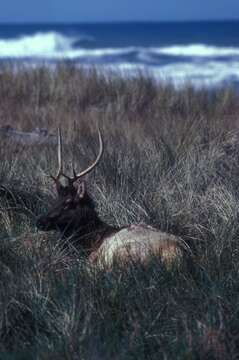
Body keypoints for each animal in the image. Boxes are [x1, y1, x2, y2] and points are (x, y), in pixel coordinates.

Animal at [37, 128, 190, 268]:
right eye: (55, 200)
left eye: (68, 203)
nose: (39, 221)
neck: (91, 240)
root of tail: (177, 253)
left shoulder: (94, 257)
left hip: (124, 253)